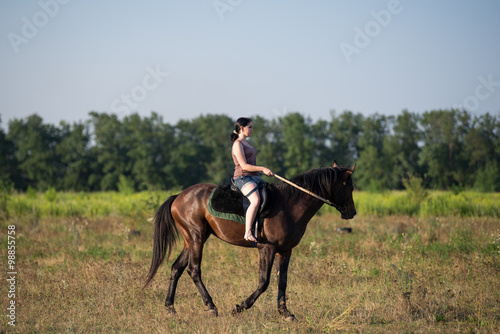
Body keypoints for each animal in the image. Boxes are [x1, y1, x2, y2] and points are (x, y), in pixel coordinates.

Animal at [144, 160, 356, 320]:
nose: (352, 213)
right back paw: (211, 306)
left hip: (193, 240)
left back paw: (170, 308)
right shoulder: (267, 249)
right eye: (350, 187)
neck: (290, 205)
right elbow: (264, 282)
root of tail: (178, 196)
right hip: (196, 238)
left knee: (176, 268)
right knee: (193, 270)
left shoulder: (285, 250)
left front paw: (285, 313)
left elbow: (283, 281)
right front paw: (240, 307)